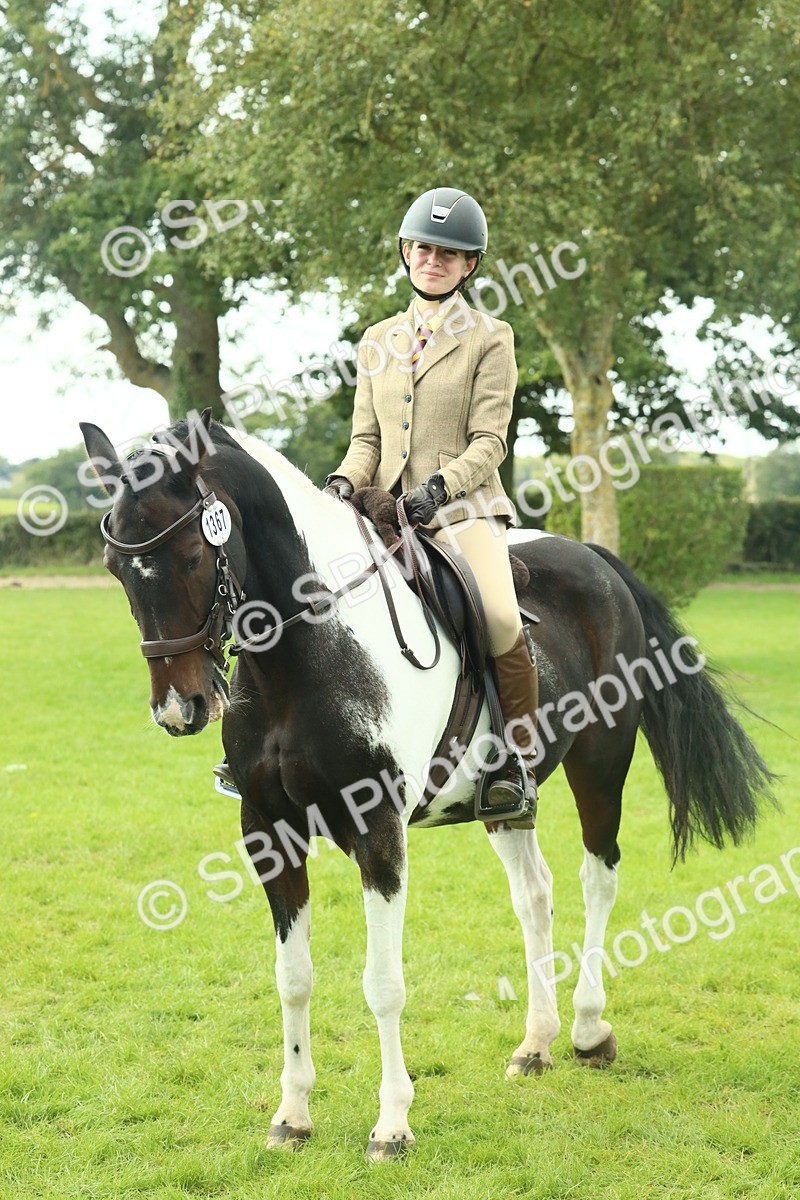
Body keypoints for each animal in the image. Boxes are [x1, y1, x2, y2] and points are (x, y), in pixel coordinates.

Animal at [80, 409, 774, 1161]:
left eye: (190, 557)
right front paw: (292, 1116)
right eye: (117, 568)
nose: (180, 709)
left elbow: (383, 984)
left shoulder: (379, 828)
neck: (306, 652)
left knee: (598, 876)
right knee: (535, 894)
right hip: (505, 803)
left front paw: (392, 1125)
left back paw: (589, 1031)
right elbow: (292, 978)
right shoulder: (267, 830)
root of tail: (593, 556)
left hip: (601, 761)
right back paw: (536, 1044)